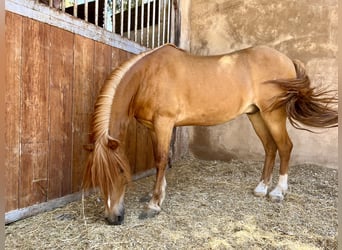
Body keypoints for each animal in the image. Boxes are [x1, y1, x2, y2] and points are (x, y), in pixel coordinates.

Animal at [82, 43, 336, 225]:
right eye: (97, 177)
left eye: (120, 172)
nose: (113, 218)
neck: (148, 75)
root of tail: (287, 59)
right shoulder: (154, 127)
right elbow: (162, 160)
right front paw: (158, 194)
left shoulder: (164, 123)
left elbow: (161, 159)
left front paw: (153, 205)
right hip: (256, 115)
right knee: (270, 147)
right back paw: (261, 188)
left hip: (273, 114)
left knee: (284, 147)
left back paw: (278, 192)